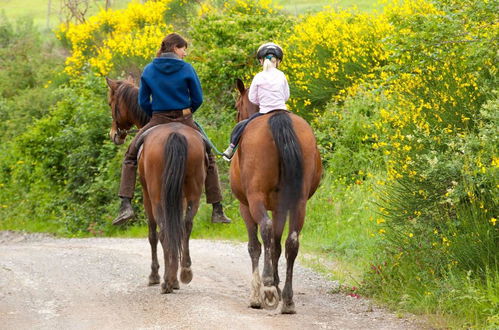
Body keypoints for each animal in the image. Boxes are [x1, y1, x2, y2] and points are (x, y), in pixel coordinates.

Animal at [105, 78, 207, 294]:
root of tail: (175, 133)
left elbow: (152, 233)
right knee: (186, 226)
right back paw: (184, 273)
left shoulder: (146, 195)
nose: (114, 134)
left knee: (162, 231)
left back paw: (166, 281)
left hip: (156, 195)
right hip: (193, 191)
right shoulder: (179, 196)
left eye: (111, 104)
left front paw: (154, 275)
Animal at [231, 78, 324, 314]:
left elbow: (256, 246)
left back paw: (268, 286)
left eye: (237, 106)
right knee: (292, 242)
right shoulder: (280, 208)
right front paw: (277, 285)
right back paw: (288, 300)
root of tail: (278, 119)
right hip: (298, 204)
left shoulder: (245, 207)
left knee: (264, 229)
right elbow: (276, 245)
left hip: (255, 200)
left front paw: (259, 292)